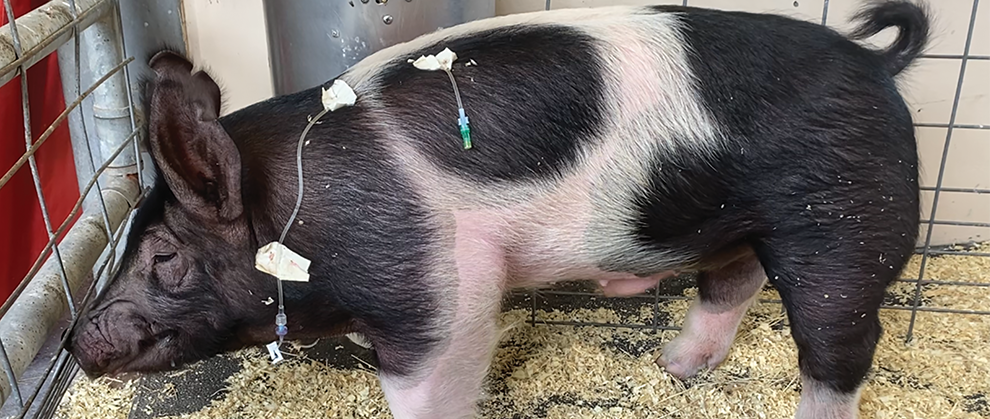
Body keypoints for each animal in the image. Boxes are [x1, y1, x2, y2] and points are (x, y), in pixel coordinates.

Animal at [66, 1, 930, 418]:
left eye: (164, 258)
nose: (77, 341)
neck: (302, 209)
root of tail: (877, 64)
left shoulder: (437, 285)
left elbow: (429, 381)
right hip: (739, 222)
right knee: (733, 282)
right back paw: (674, 368)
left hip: (846, 219)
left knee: (843, 344)